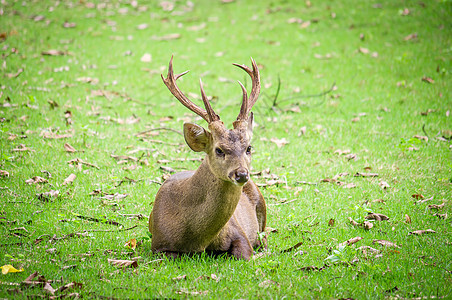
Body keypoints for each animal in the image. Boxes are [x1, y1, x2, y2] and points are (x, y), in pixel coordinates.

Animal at [148, 56, 266, 260]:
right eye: (219, 150)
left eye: (248, 148)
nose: (241, 174)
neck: (197, 240)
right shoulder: (158, 245)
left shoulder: (240, 232)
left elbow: (244, 253)